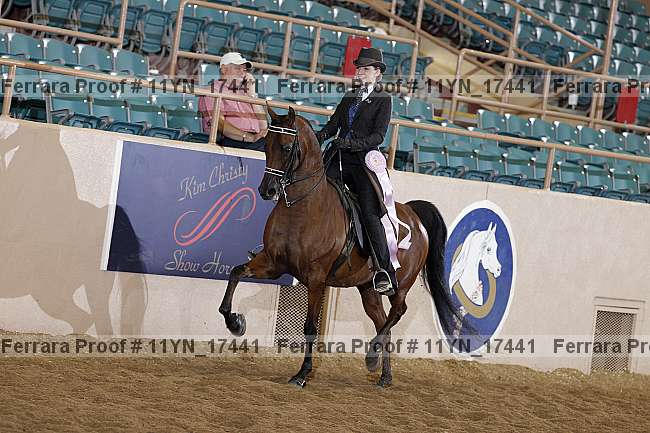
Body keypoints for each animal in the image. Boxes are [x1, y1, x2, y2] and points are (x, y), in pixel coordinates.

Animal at [218, 105, 464, 387]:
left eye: (287, 147)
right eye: (266, 145)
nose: (266, 190)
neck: (303, 209)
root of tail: (414, 217)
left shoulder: (316, 279)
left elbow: (310, 327)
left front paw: (302, 374)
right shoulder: (272, 263)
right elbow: (235, 273)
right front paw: (235, 323)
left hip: (401, 284)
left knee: (397, 312)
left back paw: (372, 356)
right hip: (367, 288)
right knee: (382, 322)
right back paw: (384, 375)